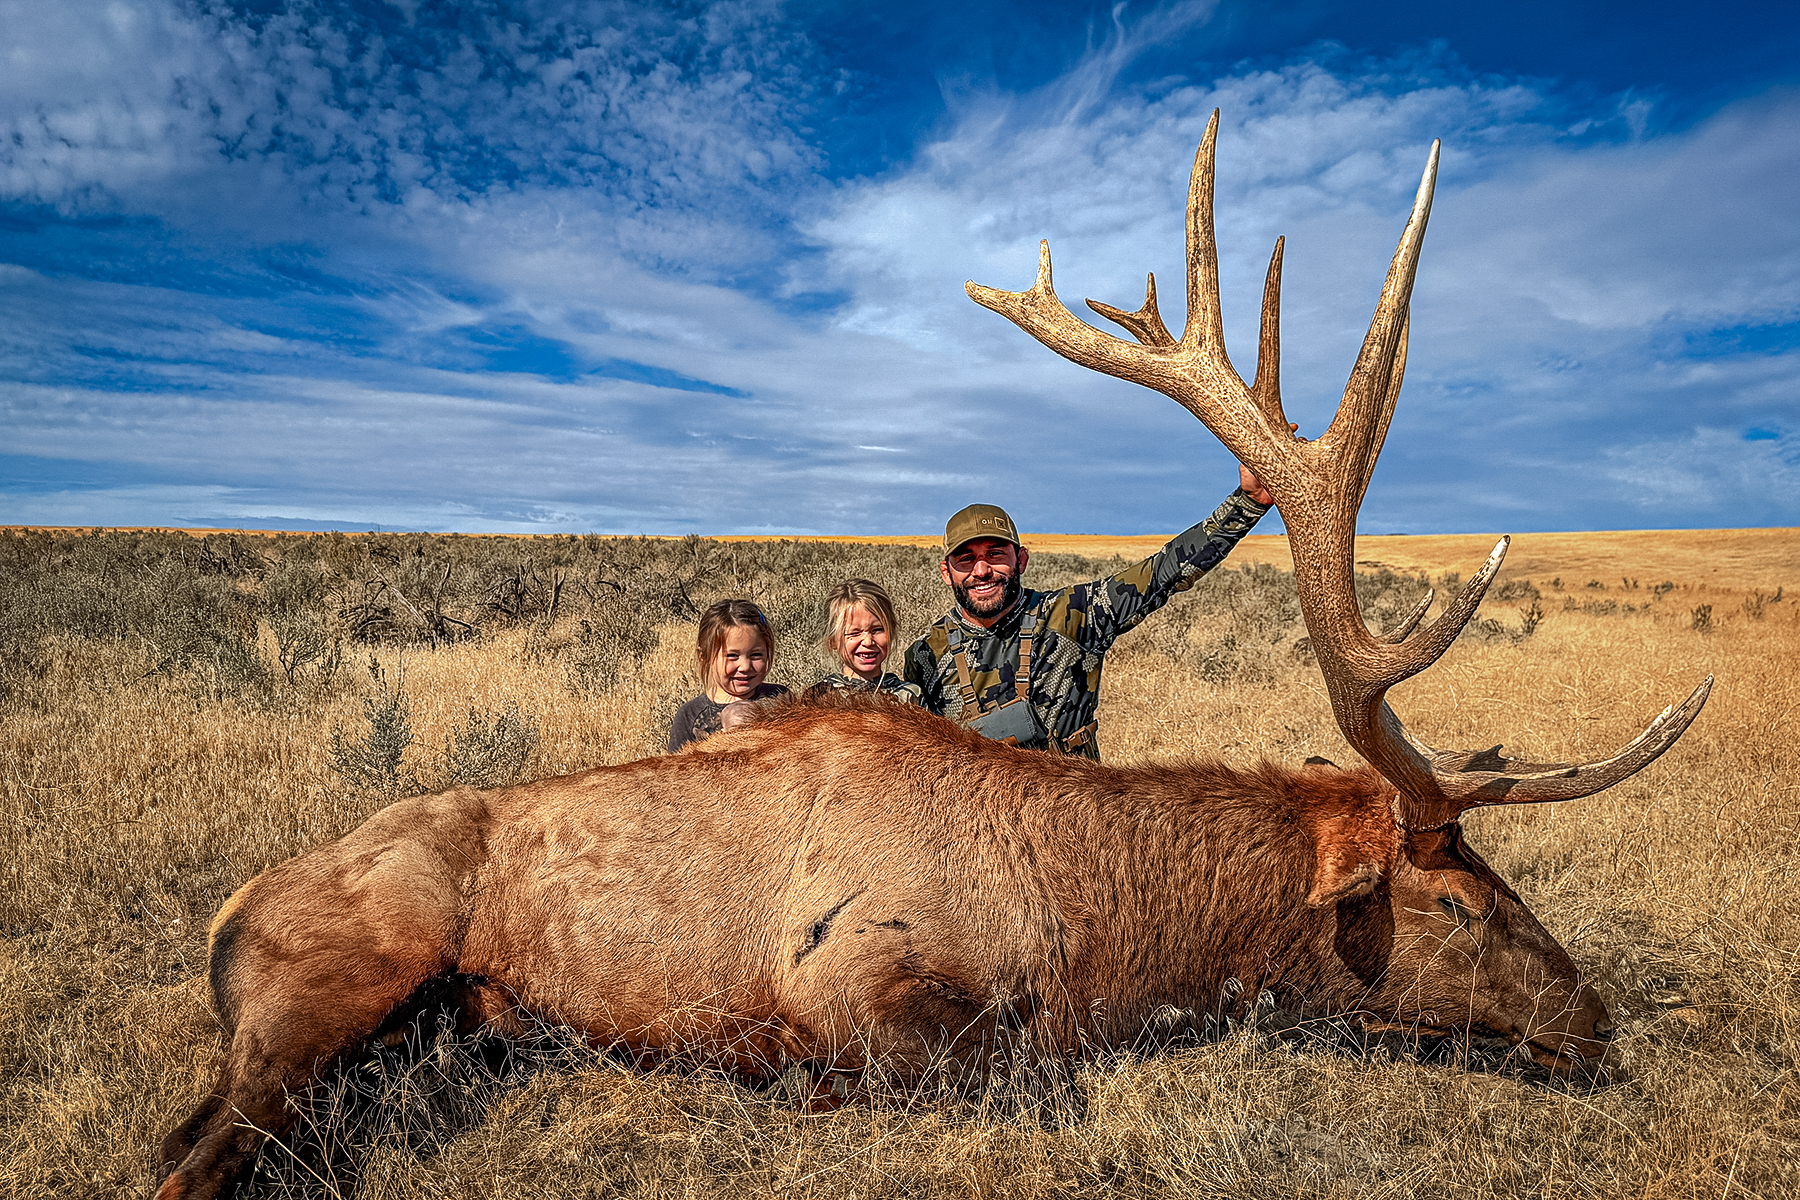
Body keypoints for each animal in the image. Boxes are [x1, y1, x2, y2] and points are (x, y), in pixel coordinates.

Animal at [154, 111, 1710, 1200]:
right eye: (1455, 904)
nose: (1599, 1024)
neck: (1099, 935)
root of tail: (231, 910)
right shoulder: (859, 989)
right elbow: (997, 1079)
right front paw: (796, 1094)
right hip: (327, 992)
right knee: (192, 1156)